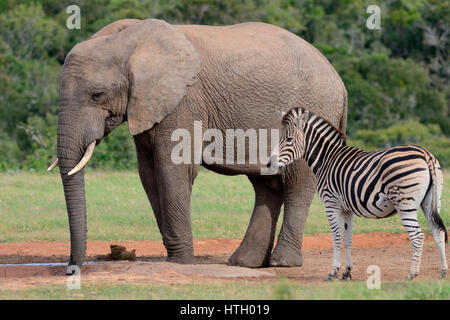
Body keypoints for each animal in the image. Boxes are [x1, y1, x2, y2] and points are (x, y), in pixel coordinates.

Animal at [51, 18, 348, 272]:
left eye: (97, 95)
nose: (71, 270)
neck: (132, 39)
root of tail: (339, 80)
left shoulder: (184, 101)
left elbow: (174, 168)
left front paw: (180, 262)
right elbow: (148, 173)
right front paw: (176, 255)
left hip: (310, 113)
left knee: (298, 182)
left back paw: (282, 263)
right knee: (266, 184)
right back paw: (245, 263)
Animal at [270, 105, 446, 280]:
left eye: (289, 139)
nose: (269, 163)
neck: (327, 159)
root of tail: (426, 154)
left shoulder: (331, 204)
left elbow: (336, 238)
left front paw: (333, 272)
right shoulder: (347, 209)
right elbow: (348, 239)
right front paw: (347, 272)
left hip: (405, 203)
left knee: (418, 236)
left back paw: (412, 274)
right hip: (431, 202)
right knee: (438, 232)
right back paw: (443, 273)